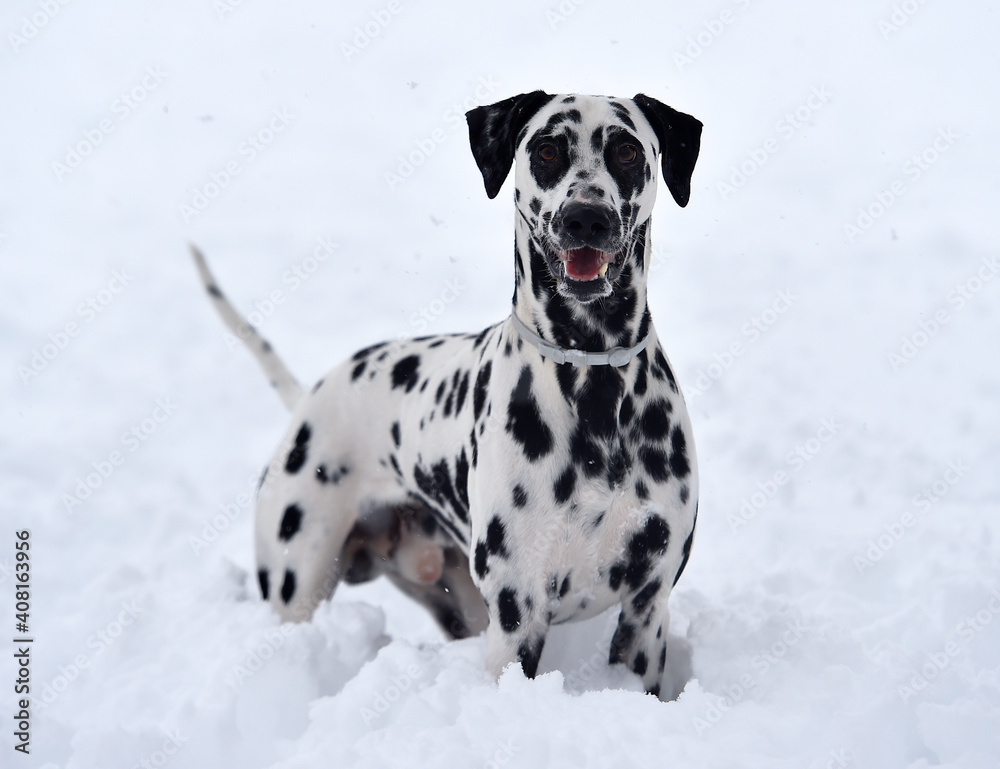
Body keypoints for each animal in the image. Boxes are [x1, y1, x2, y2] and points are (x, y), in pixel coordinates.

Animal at [193, 91, 704, 696]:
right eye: (547, 149)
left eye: (626, 150)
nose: (586, 217)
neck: (593, 381)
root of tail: (307, 401)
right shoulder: (516, 614)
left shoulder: (648, 607)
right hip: (300, 581)